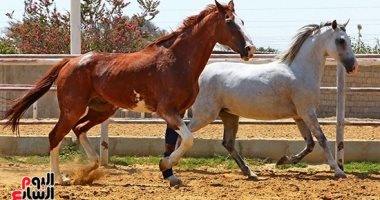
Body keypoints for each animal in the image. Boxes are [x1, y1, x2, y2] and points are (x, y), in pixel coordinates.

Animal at [2, 0, 255, 185]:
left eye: (243, 20)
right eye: (230, 21)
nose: (250, 49)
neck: (177, 61)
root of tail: (70, 62)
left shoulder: (178, 111)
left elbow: (172, 142)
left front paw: (170, 175)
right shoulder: (167, 111)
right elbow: (189, 139)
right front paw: (165, 167)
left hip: (101, 110)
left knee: (79, 129)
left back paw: (91, 167)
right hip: (72, 109)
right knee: (55, 135)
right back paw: (61, 178)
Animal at [189, 20, 358, 179]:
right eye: (341, 40)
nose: (353, 66)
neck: (299, 71)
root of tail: (199, 75)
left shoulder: (299, 116)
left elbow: (310, 144)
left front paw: (283, 160)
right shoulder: (307, 112)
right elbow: (322, 139)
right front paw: (338, 171)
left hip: (229, 115)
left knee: (227, 143)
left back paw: (250, 172)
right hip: (205, 115)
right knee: (186, 133)